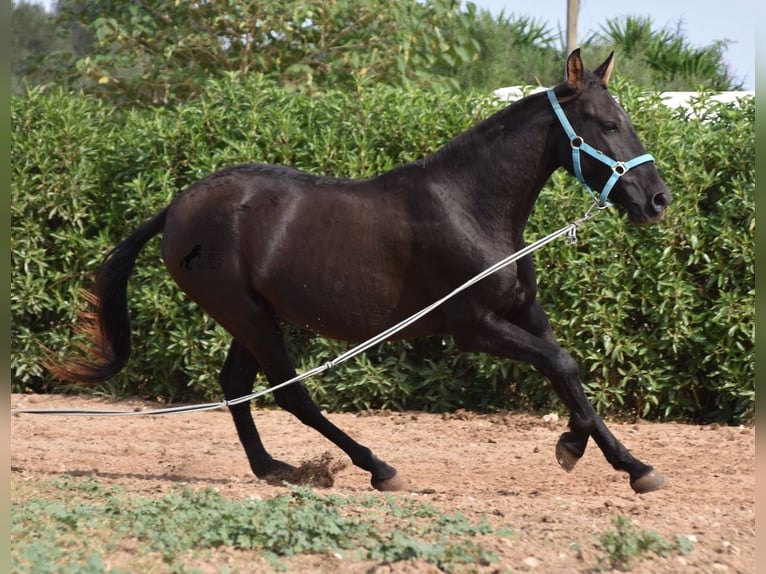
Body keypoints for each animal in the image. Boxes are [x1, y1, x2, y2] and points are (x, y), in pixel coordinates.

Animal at [48, 50, 672, 496]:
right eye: (606, 123)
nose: (658, 200)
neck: (471, 205)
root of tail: (178, 207)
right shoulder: (473, 327)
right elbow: (562, 365)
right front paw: (582, 451)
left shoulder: (525, 313)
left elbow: (569, 373)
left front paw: (625, 462)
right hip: (247, 315)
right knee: (290, 393)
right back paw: (376, 467)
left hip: (252, 315)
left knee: (237, 387)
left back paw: (274, 468)